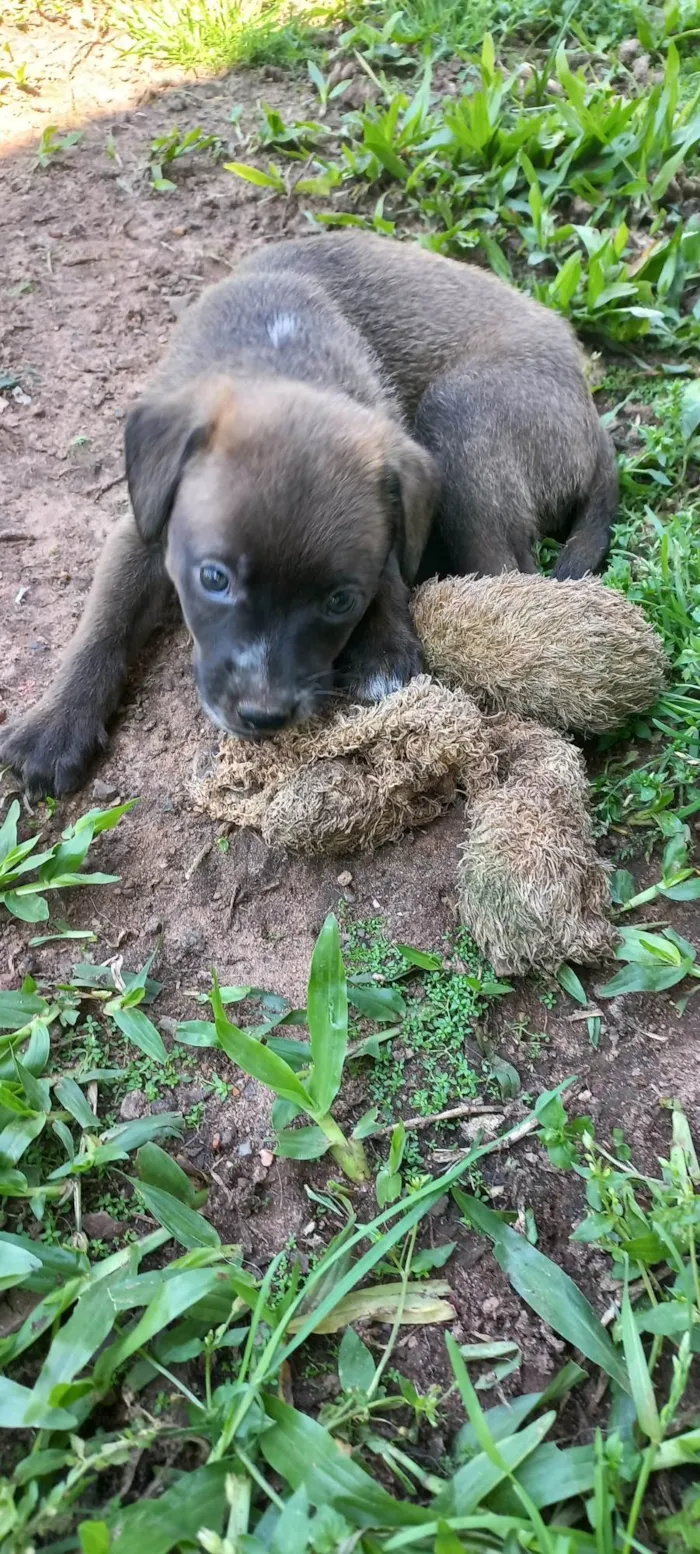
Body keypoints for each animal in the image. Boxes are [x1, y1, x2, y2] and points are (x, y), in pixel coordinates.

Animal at [0, 229, 612, 801]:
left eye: (339, 601)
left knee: (512, 575)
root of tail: (587, 403)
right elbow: (103, 624)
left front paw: (383, 649)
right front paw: (55, 726)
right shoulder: (143, 527)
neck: (280, 358)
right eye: (214, 580)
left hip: (458, 414)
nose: (263, 716)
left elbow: (390, 572)